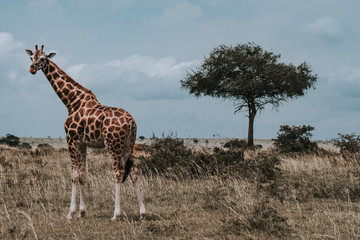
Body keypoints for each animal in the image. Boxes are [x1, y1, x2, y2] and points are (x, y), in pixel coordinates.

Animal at [25, 45, 146, 221]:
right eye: (31, 57)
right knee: (134, 172)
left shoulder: (71, 139)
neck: (72, 101)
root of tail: (131, 121)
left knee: (118, 172)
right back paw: (143, 212)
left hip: (113, 144)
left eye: (42, 58)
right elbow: (83, 174)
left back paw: (116, 214)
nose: (32, 69)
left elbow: (74, 175)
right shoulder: (82, 143)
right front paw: (82, 211)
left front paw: (70, 213)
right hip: (129, 145)